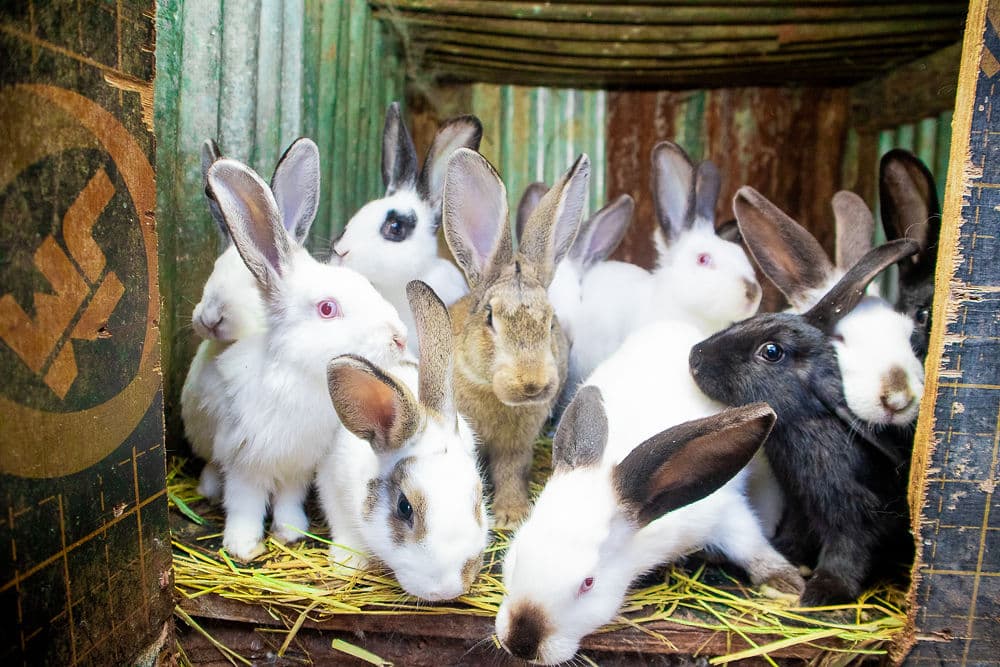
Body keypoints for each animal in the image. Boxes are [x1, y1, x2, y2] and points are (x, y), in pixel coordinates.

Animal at [205, 142, 408, 562]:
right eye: (327, 308)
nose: (400, 338)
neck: (299, 377)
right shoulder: (243, 461)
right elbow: (245, 503)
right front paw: (243, 546)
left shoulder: (299, 466)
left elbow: (288, 499)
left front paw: (291, 532)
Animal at [443, 148, 590, 529]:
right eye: (490, 319)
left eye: (550, 322)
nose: (532, 383)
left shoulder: (519, 444)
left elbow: (512, 470)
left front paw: (511, 516)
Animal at [496, 379, 802, 665]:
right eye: (518, 554)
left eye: (588, 583)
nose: (520, 645)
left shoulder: (724, 512)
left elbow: (749, 543)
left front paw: (785, 583)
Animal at [688, 236, 920, 605]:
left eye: (771, 352)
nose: (694, 357)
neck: (805, 426)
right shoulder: (799, 503)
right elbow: (797, 535)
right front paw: (787, 554)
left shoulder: (855, 514)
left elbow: (848, 550)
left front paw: (823, 590)